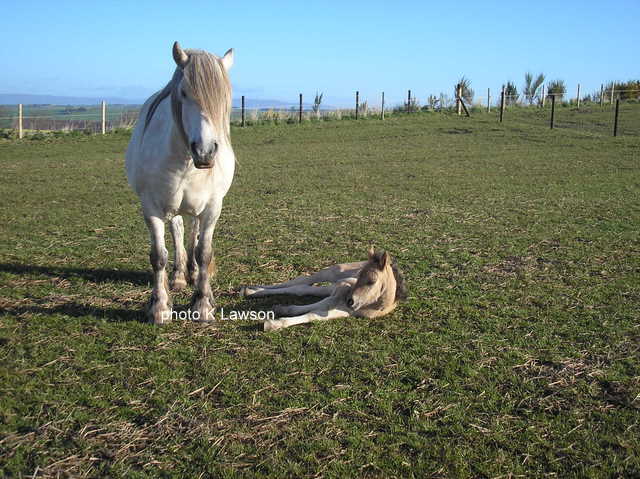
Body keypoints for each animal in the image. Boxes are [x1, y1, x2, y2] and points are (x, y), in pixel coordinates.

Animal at [125, 42, 235, 324]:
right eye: (184, 92)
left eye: (223, 96)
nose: (205, 152)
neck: (185, 162)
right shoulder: (151, 208)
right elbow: (158, 256)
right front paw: (159, 307)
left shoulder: (212, 207)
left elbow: (203, 252)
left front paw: (203, 305)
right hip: (172, 207)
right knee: (177, 231)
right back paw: (177, 277)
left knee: (192, 232)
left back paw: (193, 273)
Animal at [241, 248, 407, 331]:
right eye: (359, 276)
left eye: (372, 281)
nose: (351, 301)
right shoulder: (341, 289)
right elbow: (318, 305)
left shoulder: (347, 311)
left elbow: (314, 313)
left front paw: (279, 316)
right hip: (331, 272)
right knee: (302, 281)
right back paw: (251, 290)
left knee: (301, 288)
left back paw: (252, 291)